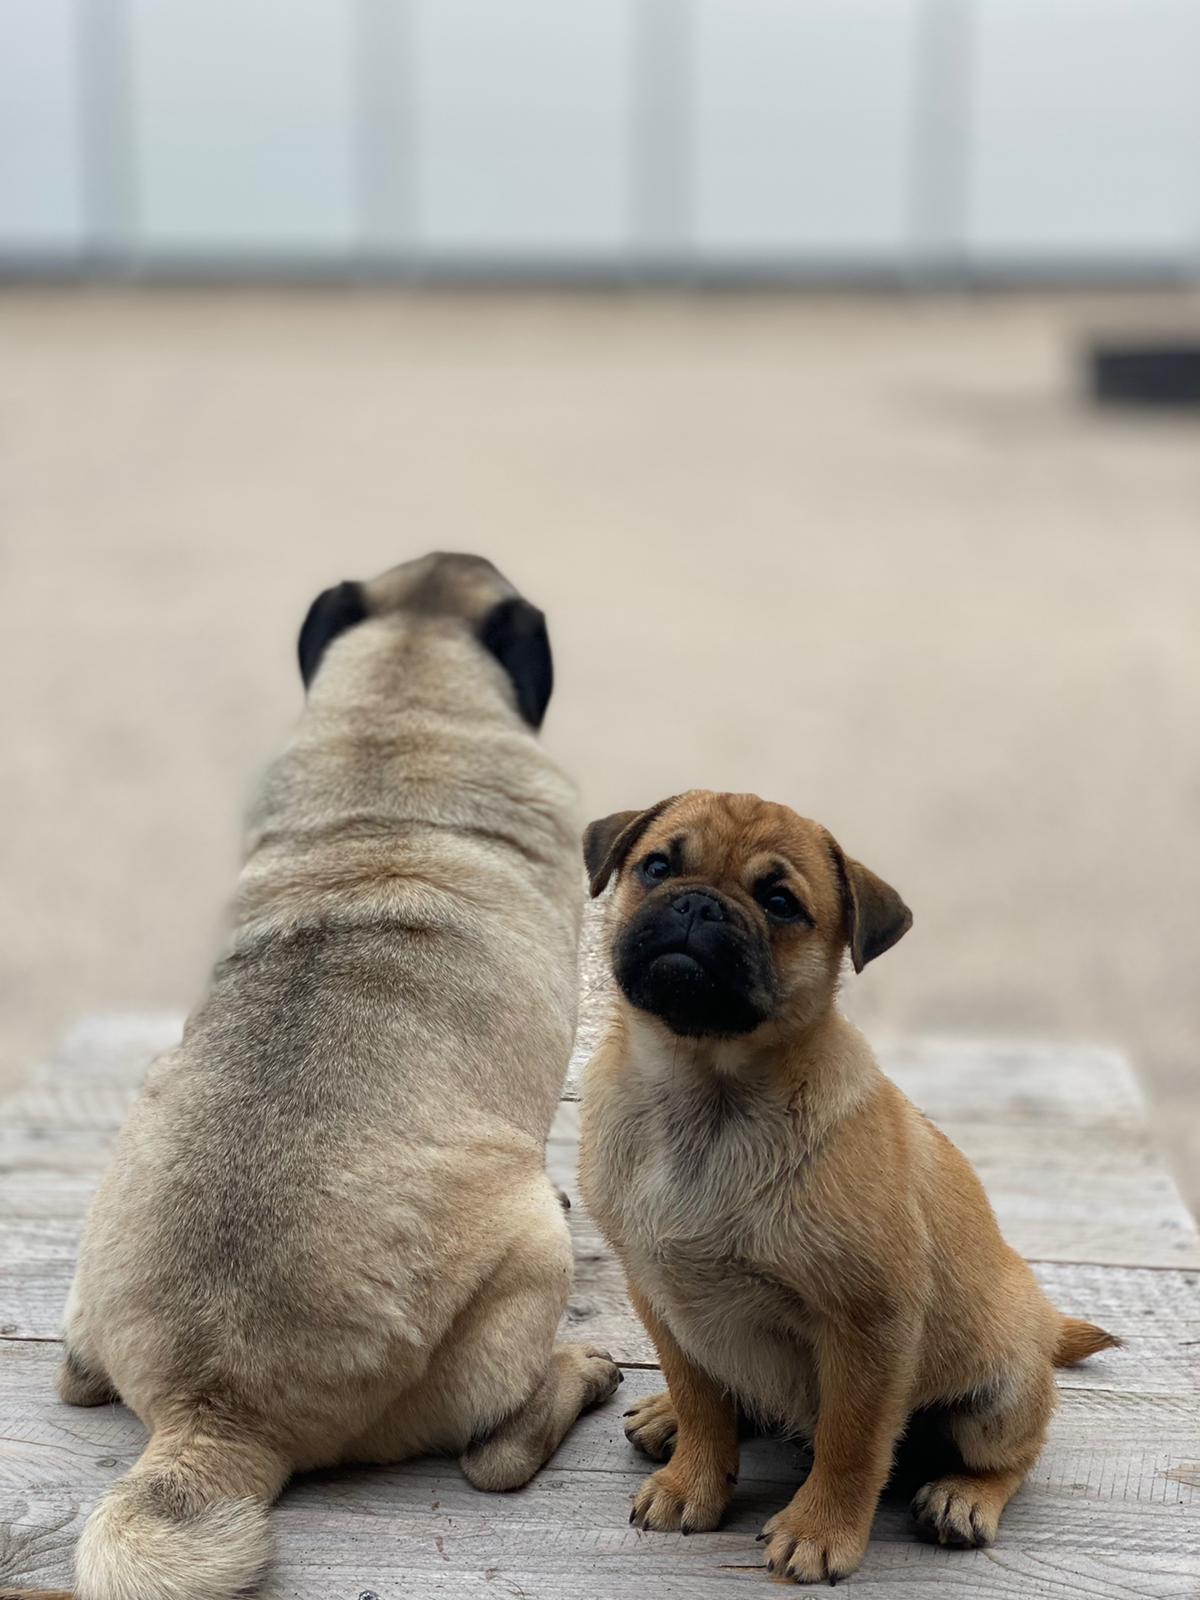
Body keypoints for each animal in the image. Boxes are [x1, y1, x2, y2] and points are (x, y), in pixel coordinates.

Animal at [47, 553, 620, 1600]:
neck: (393, 737)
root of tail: (213, 1413)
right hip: (526, 1257)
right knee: (496, 1453)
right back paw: (581, 1377)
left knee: (75, 1376)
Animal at [579, 793, 1120, 1580]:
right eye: (656, 867)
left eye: (780, 903)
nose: (698, 904)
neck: (705, 1087)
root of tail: (1046, 1328)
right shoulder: (663, 1301)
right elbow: (702, 1396)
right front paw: (693, 1478)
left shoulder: (868, 1327)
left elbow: (850, 1440)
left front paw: (820, 1528)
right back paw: (666, 1418)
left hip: (998, 1402)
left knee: (1011, 1458)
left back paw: (964, 1496)